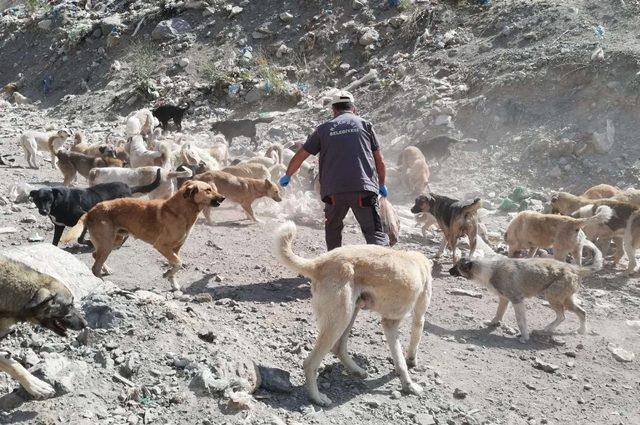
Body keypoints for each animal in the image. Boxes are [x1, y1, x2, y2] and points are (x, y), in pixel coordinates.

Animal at [29, 167, 161, 243]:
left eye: (49, 200)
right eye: (38, 200)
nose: (44, 211)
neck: (58, 203)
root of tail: (128, 188)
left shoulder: (84, 216)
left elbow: (80, 238)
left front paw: (87, 242)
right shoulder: (59, 226)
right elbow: (55, 242)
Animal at [60, 181, 225, 290]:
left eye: (213, 188)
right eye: (208, 190)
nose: (223, 198)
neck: (181, 211)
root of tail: (91, 211)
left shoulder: (176, 248)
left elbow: (175, 264)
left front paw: (173, 282)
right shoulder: (161, 246)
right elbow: (178, 263)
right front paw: (167, 274)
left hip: (115, 241)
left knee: (95, 255)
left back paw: (106, 270)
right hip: (108, 243)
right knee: (95, 267)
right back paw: (103, 282)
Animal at [272, 222, 432, 404]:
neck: (417, 261)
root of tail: (319, 263)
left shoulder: (389, 323)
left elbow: (398, 360)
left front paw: (406, 382)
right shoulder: (413, 318)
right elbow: (411, 346)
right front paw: (411, 372)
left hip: (350, 312)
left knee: (338, 347)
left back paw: (356, 370)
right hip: (340, 319)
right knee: (310, 363)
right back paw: (317, 398)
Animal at [448, 253, 596, 342]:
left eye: (457, 266)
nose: (449, 271)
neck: (485, 268)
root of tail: (574, 268)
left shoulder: (516, 300)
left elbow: (521, 321)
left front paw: (525, 337)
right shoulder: (504, 299)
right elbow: (499, 313)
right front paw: (492, 323)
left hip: (552, 296)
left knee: (562, 316)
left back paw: (547, 329)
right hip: (566, 299)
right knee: (581, 312)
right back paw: (580, 330)